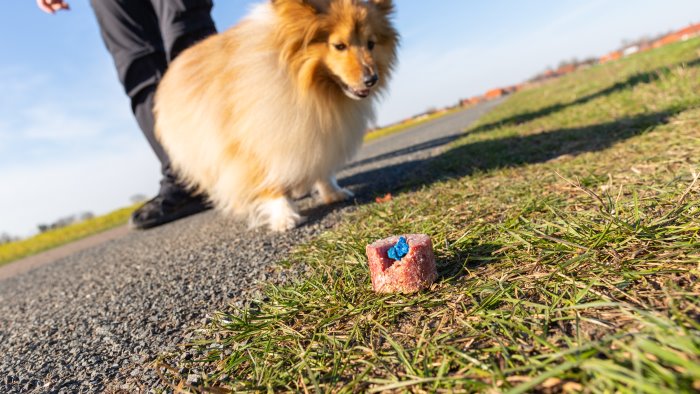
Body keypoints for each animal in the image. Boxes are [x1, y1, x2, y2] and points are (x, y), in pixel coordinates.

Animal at [157, 0, 402, 231]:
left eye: (371, 44)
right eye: (339, 45)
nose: (372, 79)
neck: (315, 90)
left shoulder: (318, 131)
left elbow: (322, 164)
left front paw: (333, 192)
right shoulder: (256, 138)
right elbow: (268, 180)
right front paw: (284, 216)